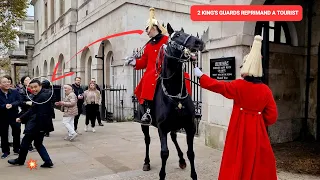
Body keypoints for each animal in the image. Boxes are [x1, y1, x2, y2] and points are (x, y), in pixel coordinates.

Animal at [139, 22, 205, 180]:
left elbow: (191, 153)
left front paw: (193, 174)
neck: (175, 93)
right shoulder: (162, 128)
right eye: (177, 35)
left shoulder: (189, 126)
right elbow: (164, 153)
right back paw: (146, 162)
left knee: (174, 137)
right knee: (147, 140)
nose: (199, 43)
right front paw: (162, 175)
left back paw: (181, 160)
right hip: (144, 124)